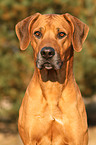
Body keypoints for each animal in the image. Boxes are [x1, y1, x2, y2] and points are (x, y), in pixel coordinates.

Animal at [15, 13, 89, 144]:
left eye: (61, 34)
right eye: (37, 33)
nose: (46, 52)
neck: (52, 87)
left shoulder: (77, 139)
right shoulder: (30, 139)